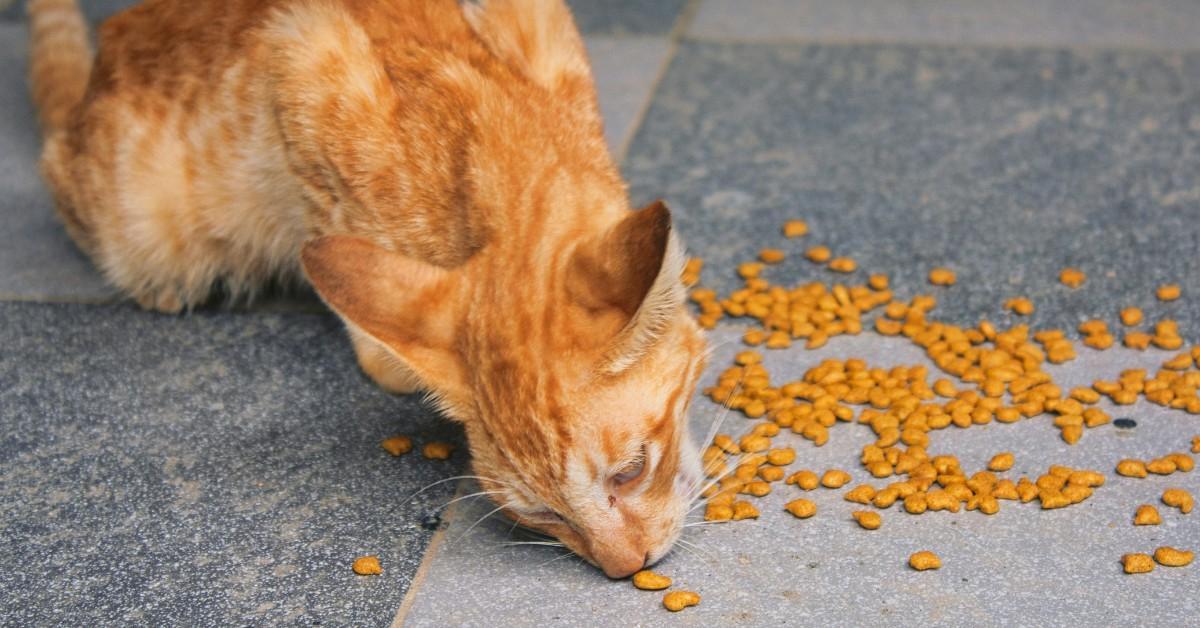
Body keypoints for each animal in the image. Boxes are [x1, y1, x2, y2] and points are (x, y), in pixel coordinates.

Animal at [30, 0, 710, 581]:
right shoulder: (297, 59)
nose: (626, 567)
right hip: (139, 223)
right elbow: (344, 267)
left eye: (631, 471)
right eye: (541, 513)